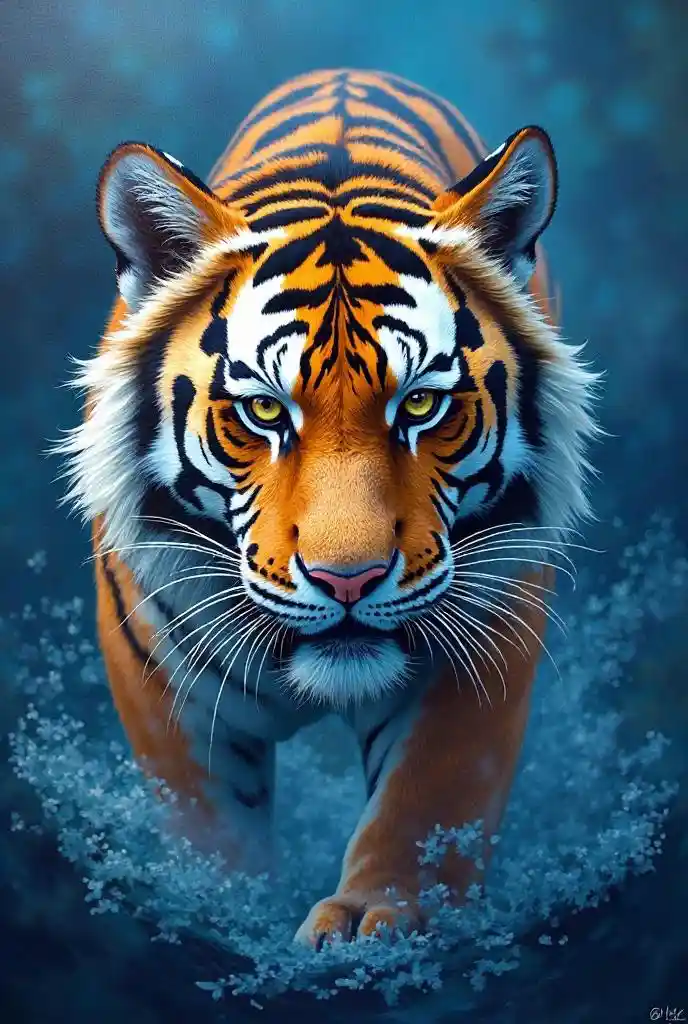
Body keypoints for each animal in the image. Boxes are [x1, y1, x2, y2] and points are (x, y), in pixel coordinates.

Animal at [59, 69, 598, 947]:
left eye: (421, 405)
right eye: (263, 412)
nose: (349, 580)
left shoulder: (485, 631)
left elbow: (429, 794)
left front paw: (378, 916)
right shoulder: (158, 679)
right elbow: (209, 829)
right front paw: (227, 916)